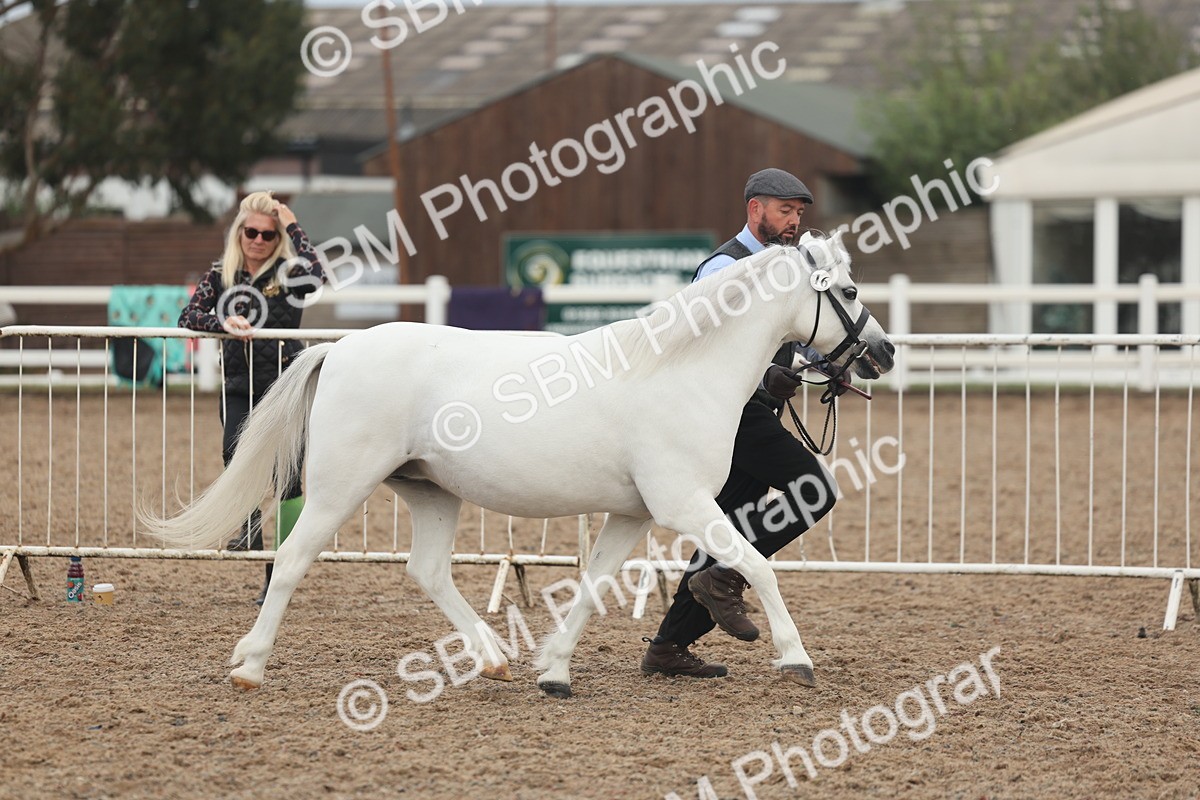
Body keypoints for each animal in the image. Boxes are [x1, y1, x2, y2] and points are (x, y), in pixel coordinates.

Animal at [141, 233, 894, 698]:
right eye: (851, 291)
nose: (884, 353)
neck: (681, 369)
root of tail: (341, 347)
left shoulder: (632, 514)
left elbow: (591, 587)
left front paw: (553, 671)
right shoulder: (684, 504)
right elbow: (760, 567)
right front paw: (795, 658)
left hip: (430, 493)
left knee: (428, 571)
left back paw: (496, 660)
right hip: (338, 488)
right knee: (293, 560)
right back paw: (249, 666)